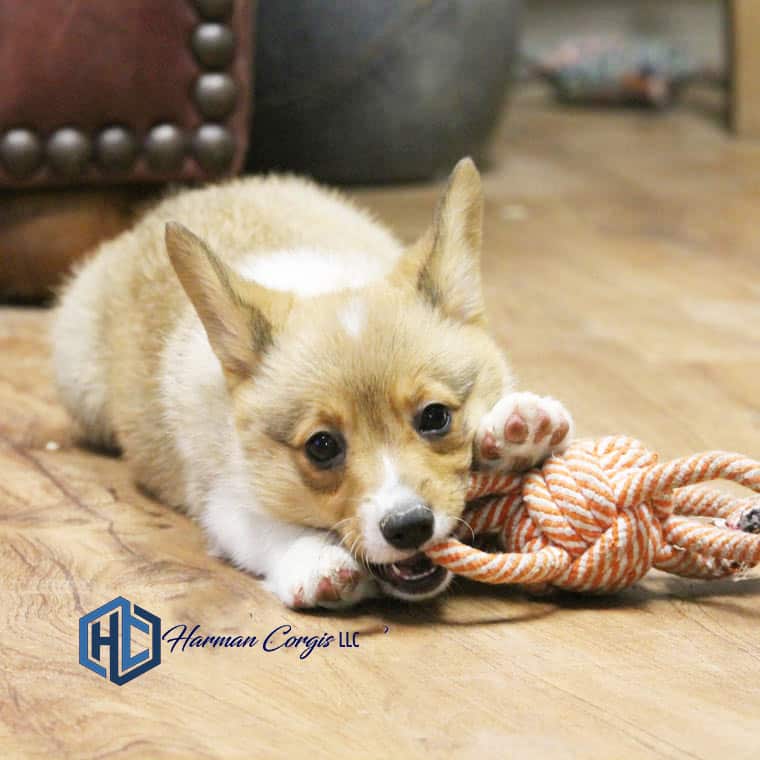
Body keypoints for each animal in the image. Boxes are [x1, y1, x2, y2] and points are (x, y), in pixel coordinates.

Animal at [53, 162, 572, 612]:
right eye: (322, 446)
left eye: (435, 417)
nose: (409, 528)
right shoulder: (222, 498)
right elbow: (266, 528)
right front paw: (314, 558)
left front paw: (517, 432)